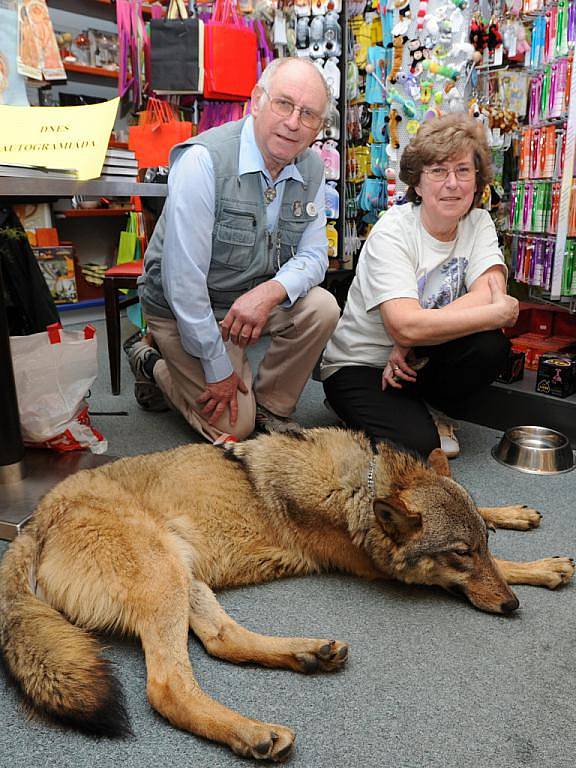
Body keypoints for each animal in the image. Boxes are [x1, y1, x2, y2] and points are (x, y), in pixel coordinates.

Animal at [0, 428, 572, 760]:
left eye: (481, 544)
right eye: (460, 554)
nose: (511, 607)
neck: (362, 487)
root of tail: (34, 522)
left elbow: (492, 519)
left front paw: (517, 520)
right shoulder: (381, 570)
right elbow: (498, 570)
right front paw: (538, 569)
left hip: (185, 578)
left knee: (222, 641)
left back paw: (307, 654)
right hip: (163, 581)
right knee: (166, 688)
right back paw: (252, 732)